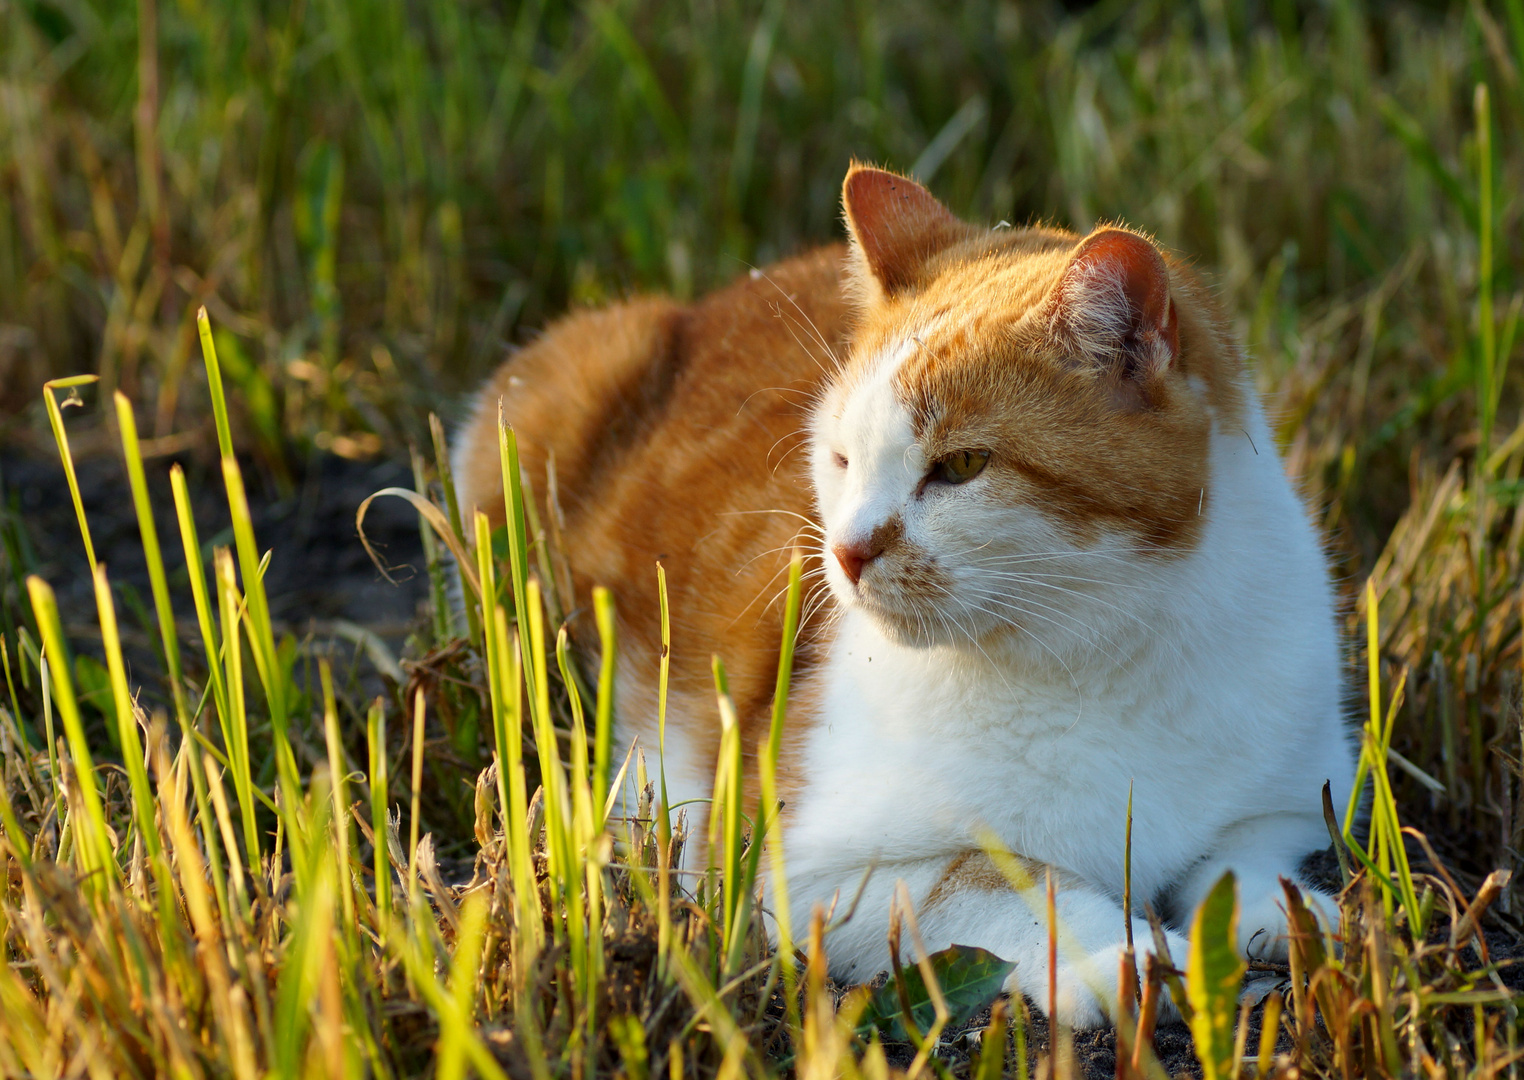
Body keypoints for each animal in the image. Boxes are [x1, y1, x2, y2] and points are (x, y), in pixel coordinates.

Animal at [451, 164, 1359, 1023]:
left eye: (961, 465)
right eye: (841, 458)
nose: (847, 552)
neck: (1110, 650)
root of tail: (713, 297)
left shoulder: (1291, 798)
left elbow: (1236, 858)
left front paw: (1283, 916)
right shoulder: (797, 872)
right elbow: (1006, 878)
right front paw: (1121, 956)